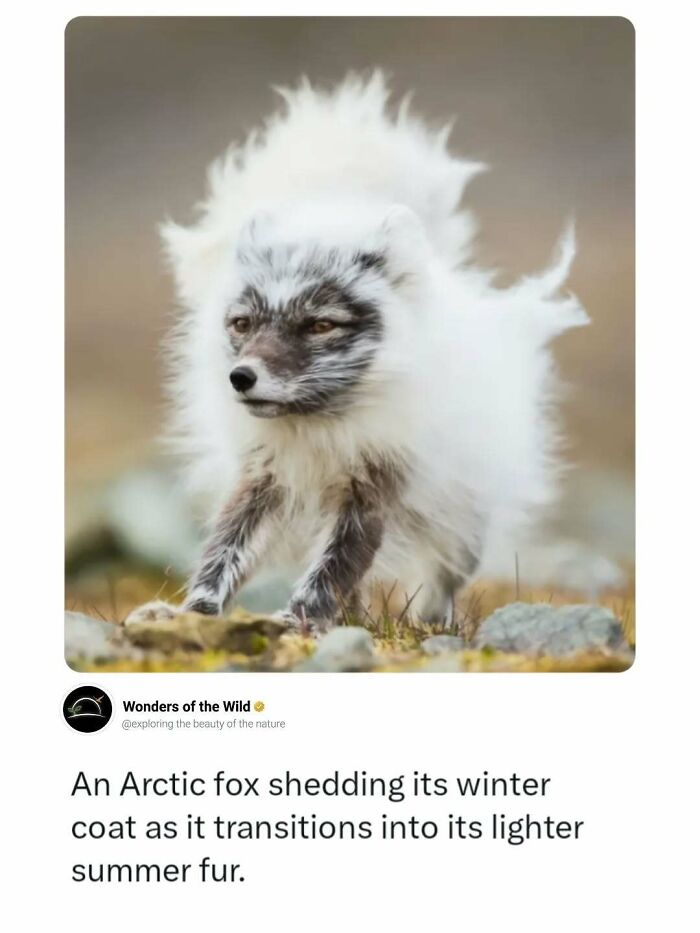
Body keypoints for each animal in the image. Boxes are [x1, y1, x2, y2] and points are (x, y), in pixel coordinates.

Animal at [126, 71, 614, 633]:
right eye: (242, 324)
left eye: (320, 325)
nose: (241, 377)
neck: (320, 429)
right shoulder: (263, 480)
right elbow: (222, 553)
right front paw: (192, 614)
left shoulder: (375, 490)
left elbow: (332, 569)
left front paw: (297, 621)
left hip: (460, 515)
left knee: (444, 573)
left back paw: (432, 623)